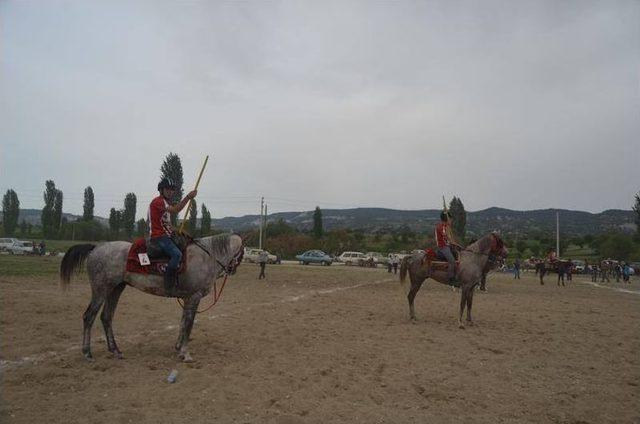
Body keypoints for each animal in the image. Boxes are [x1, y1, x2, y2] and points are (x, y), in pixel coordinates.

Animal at [59, 234, 242, 362]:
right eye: (242, 252)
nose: (232, 269)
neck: (206, 257)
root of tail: (96, 248)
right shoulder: (194, 297)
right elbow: (189, 324)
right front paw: (185, 353)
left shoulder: (187, 299)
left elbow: (183, 322)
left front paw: (178, 348)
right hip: (101, 290)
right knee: (89, 316)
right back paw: (87, 353)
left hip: (116, 289)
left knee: (106, 317)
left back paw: (115, 350)